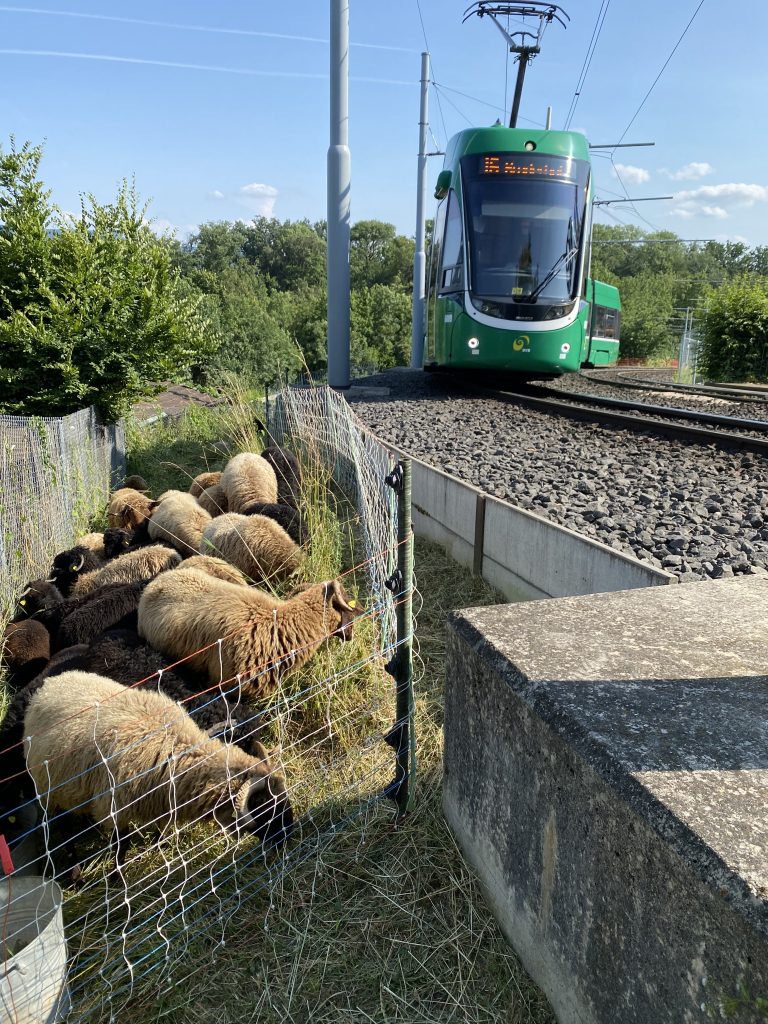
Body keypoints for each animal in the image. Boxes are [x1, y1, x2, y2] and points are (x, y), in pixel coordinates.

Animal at [24, 671, 294, 847]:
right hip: (48, 788)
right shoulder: (114, 807)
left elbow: (162, 827)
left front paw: (160, 844)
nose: (288, 835)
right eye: (265, 807)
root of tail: (49, 684)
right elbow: (121, 846)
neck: (174, 749)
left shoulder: (163, 799)